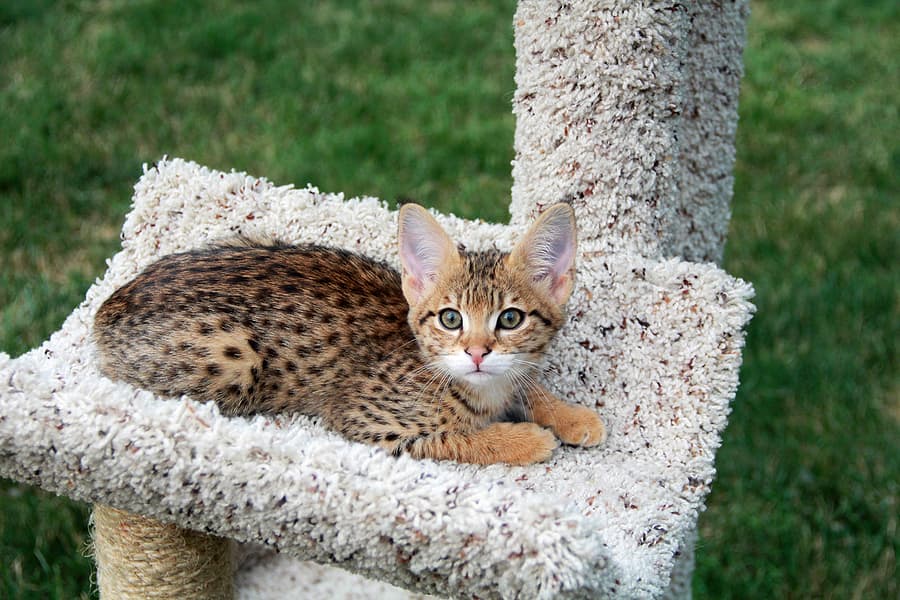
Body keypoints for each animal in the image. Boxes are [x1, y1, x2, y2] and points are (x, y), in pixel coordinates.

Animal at [93, 204, 604, 466]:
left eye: (510, 319)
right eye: (450, 319)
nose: (477, 352)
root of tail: (107, 307)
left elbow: (527, 383)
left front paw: (571, 415)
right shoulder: (368, 419)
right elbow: (456, 437)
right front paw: (524, 440)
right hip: (233, 357)